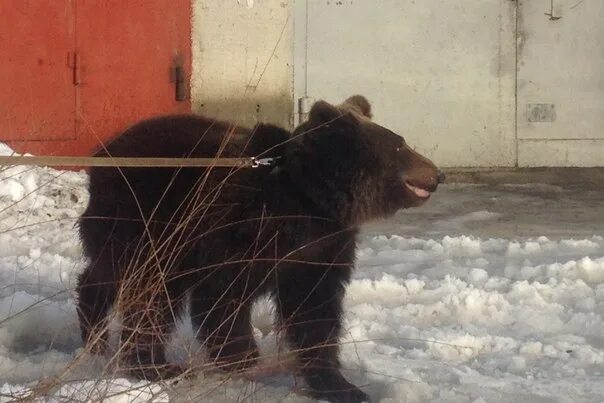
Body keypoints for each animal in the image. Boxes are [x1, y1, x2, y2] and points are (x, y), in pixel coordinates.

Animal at [75, 95, 444, 403]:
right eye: (399, 145)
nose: (438, 174)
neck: (308, 201)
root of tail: (102, 153)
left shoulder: (320, 250)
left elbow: (316, 313)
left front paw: (340, 384)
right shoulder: (237, 231)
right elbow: (222, 299)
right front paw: (242, 357)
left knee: (110, 279)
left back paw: (97, 335)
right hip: (147, 218)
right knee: (149, 291)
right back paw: (154, 365)